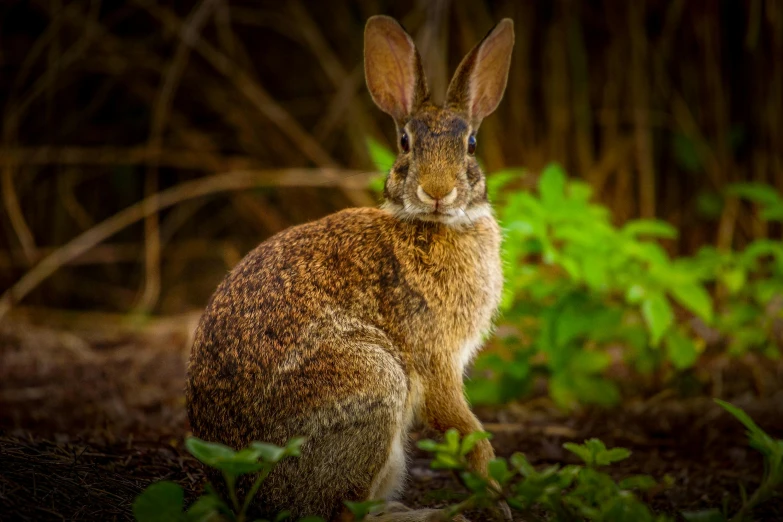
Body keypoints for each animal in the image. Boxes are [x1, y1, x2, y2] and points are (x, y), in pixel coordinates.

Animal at [187, 14, 516, 520]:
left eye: (472, 145)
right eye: (405, 143)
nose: (436, 192)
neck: (432, 225)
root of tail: (240, 490)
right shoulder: (435, 358)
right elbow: (467, 437)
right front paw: (498, 502)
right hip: (371, 383)